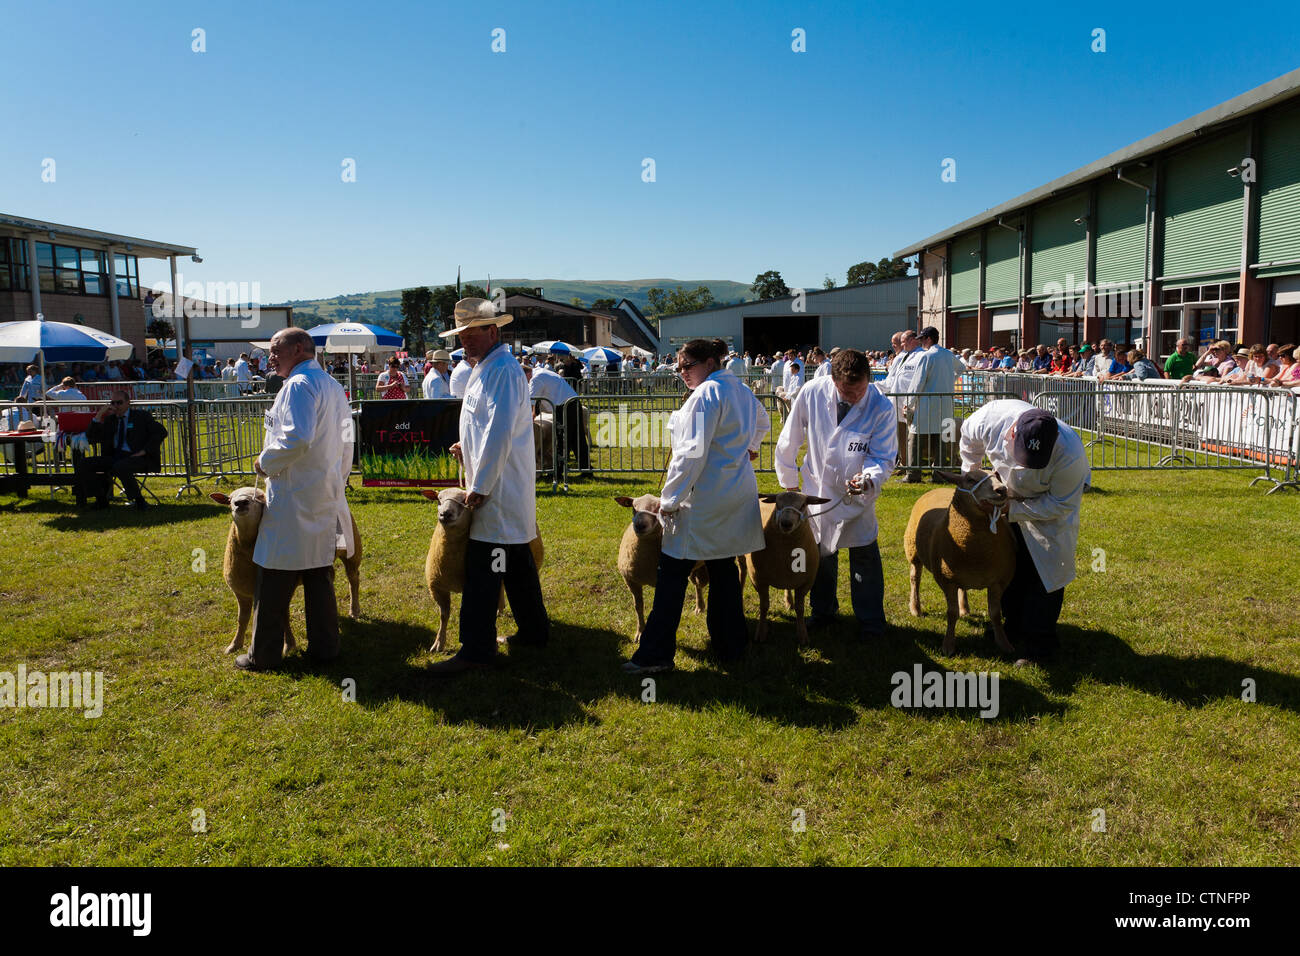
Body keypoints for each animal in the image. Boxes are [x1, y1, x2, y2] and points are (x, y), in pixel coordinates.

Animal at [209, 489, 364, 655]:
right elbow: (242, 618)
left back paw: (354, 610)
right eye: (229, 499)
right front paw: (234, 645)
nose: (241, 503)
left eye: (260, 497)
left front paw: (289, 645)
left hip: (352, 550)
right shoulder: (240, 592)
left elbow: (284, 616)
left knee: (353, 578)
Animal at [423, 489, 546, 655]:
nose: (445, 514)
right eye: (438, 499)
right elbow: (444, 616)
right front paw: (438, 643)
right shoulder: (437, 587)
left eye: (464, 500)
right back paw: (500, 610)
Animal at [611, 494, 707, 642]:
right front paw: (640, 633)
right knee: (697, 585)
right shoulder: (630, 581)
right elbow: (638, 607)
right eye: (633, 507)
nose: (639, 525)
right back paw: (700, 608)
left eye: (658, 508)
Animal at [748, 494, 826, 642]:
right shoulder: (758, 579)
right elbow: (764, 606)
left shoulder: (806, 582)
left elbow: (800, 609)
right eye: (777, 504)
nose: (786, 523)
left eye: (803, 505)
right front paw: (761, 633)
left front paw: (802, 635)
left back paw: (789, 602)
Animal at [904, 468, 1013, 658]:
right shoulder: (947, 580)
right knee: (915, 579)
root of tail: (937, 488)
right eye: (970, 479)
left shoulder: (998, 581)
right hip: (913, 551)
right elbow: (951, 613)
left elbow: (995, 614)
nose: (1002, 489)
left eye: (997, 475)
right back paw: (916, 608)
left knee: (963, 588)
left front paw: (1003, 643)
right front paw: (948, 645)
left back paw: (965, 609)